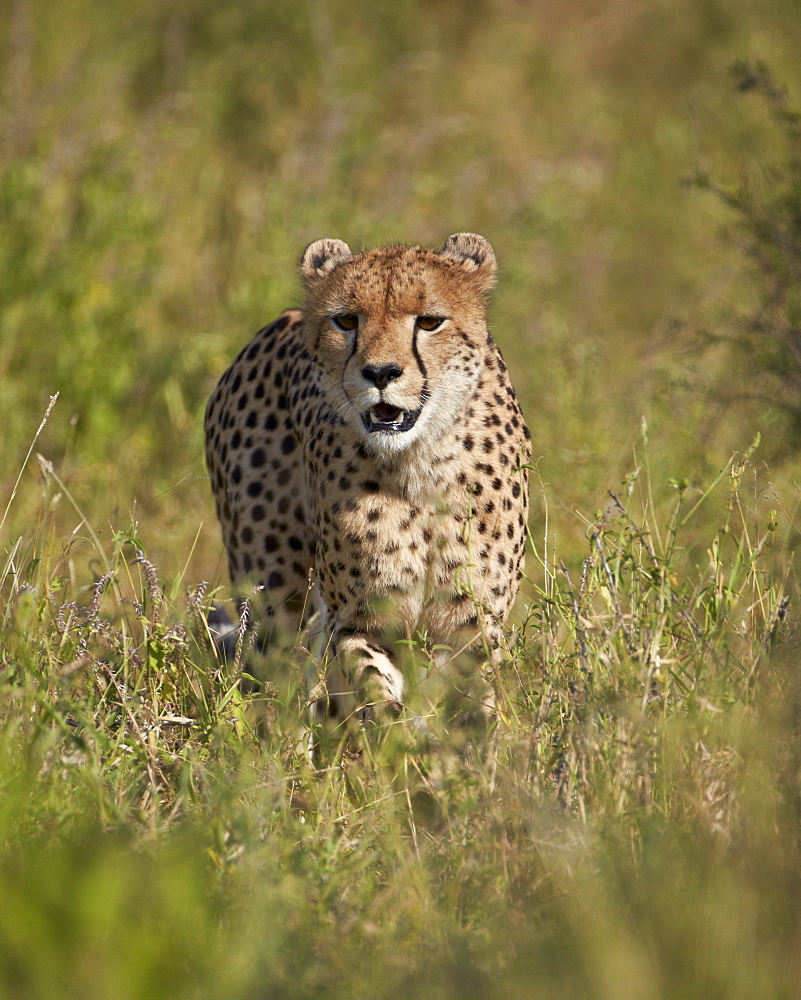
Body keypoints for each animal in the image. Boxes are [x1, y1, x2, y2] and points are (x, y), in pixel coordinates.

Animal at [205, 235, 532, 736]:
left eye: (430, 321)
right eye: (346, 320)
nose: (380, 373)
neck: (418, 464)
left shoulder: (473, 626)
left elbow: (478, 708)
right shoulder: (358, 620)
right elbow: (375, 686)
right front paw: (398, 741)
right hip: (275, 598)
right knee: (279, 681)